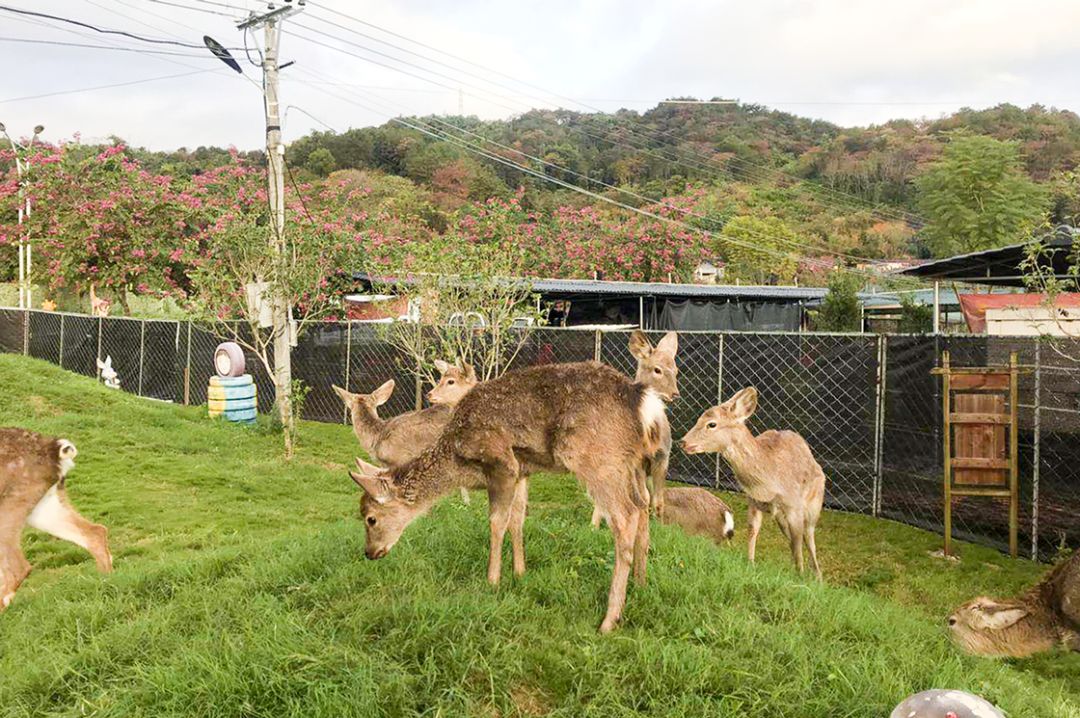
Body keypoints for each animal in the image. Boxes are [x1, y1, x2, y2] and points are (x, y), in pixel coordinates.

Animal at [349, 360, 660, 630]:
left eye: (371, 518)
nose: (369, 553)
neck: (457, 458)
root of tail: (642, 402)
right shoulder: (522, 471)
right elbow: (517, 519)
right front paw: (520, 572)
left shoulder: (502, 462)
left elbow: (497, 521)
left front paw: (492, 580)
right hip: (632, 463)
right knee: (643, 505)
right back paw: (641, 584)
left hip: (594, 456)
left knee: (625, 516)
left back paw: (609, 619)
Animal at [596, 330, 678, 526]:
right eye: (657, 369)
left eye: (676, 370)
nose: (675, 394)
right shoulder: (638, 462)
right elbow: (645, 497)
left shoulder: (663, 457)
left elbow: (658, 500)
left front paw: (660, 525)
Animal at [682, 386, 825, 578]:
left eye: (712, 424)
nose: (683, 442)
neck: (767, 483)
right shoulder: (753, 501)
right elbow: (753, 531)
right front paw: (750, 564)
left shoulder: (794, 504)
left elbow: (798, 543)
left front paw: (801, 576)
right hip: (780, 517)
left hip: (814, 503)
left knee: (809, 537)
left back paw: (817, 575)